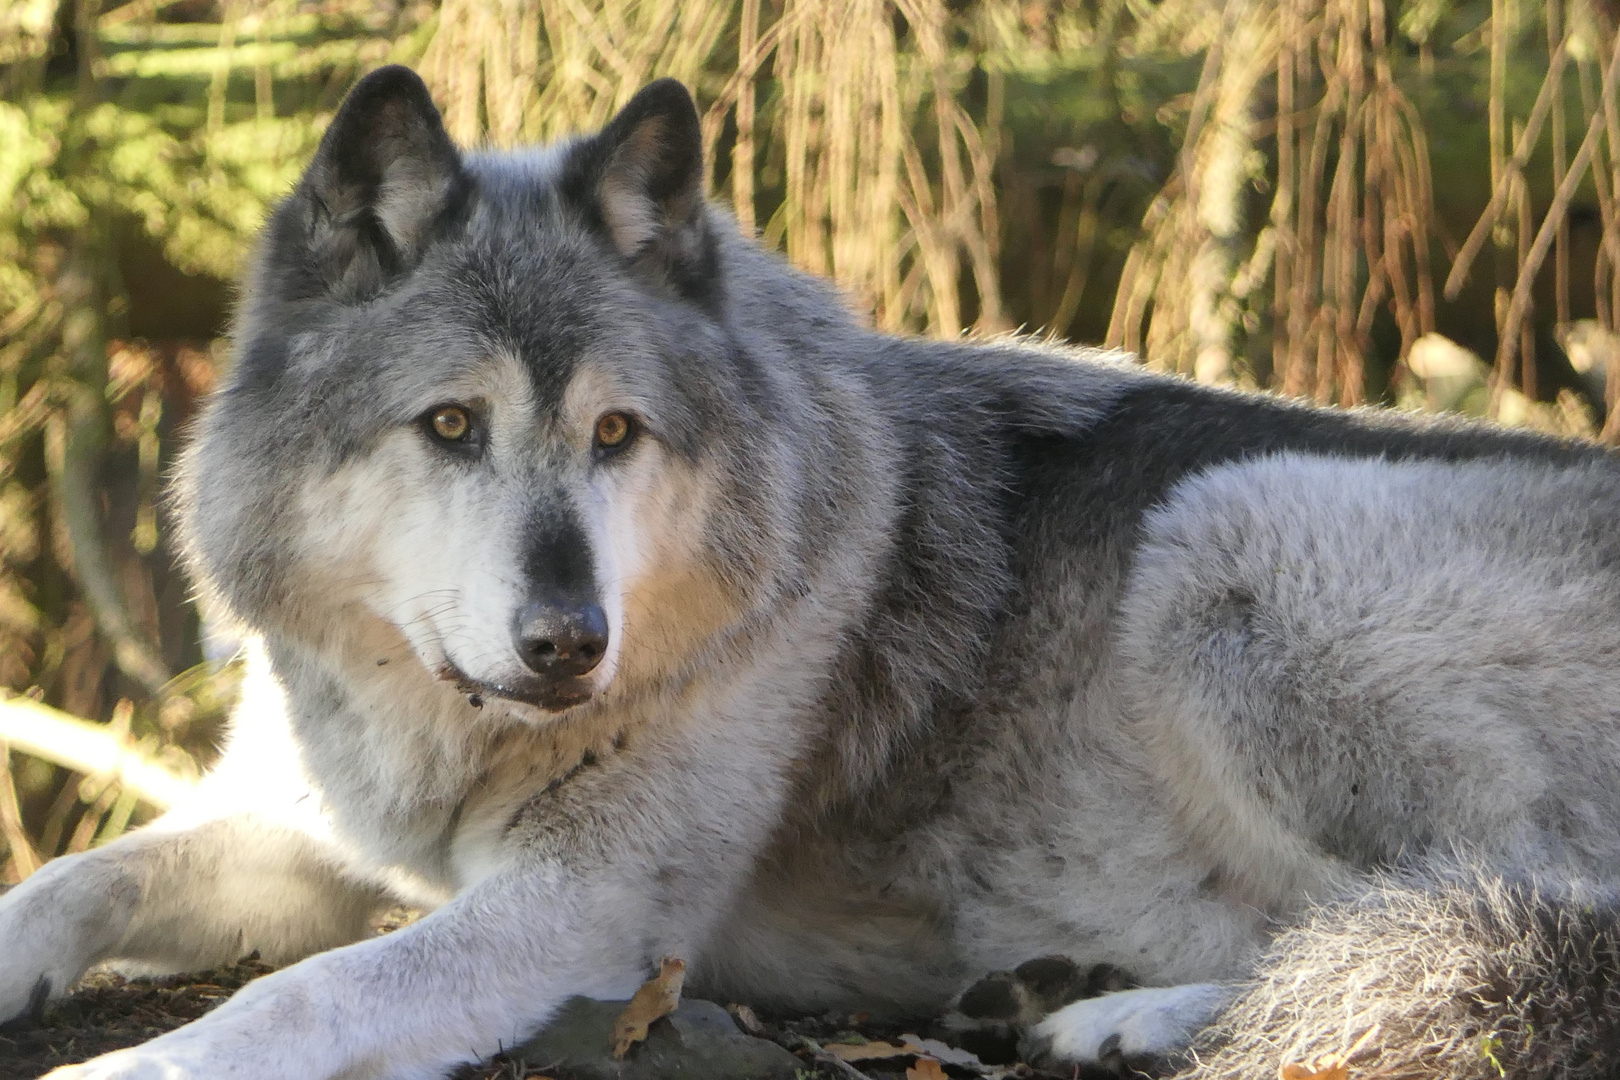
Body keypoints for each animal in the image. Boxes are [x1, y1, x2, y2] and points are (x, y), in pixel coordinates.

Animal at [9, 67, 1620, 1080]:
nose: (568, 642)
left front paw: (139, 1071)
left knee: (1497, 919)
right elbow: (74, 880)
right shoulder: (311, 832)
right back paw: (1057, 991)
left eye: (615, 433)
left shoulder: (581, 913)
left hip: (1224, 533)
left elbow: (309, 996)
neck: (432, 717)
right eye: (451, 425)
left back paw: (1132, 1021)